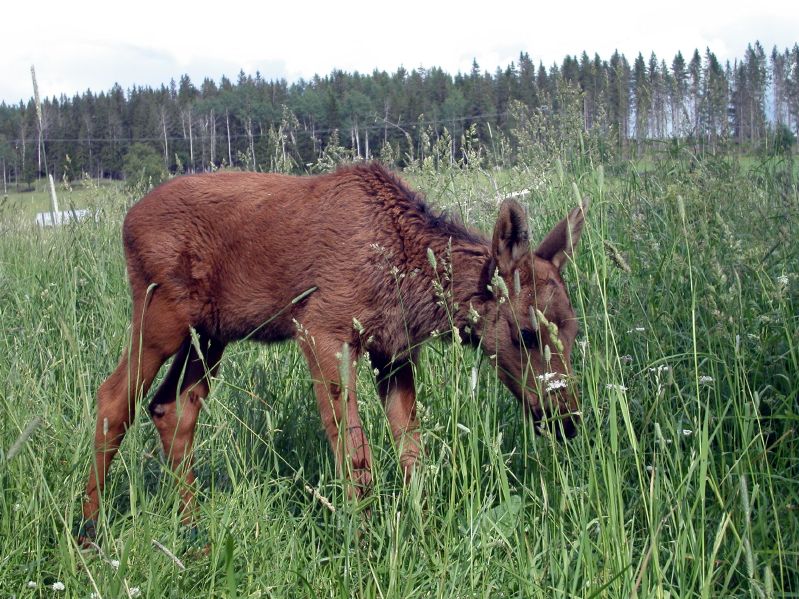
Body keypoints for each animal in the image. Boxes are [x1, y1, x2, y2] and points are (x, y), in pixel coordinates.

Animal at [79, 163, 588, 540]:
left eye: (572, 330)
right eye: (526, 332)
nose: (567, 420)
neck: (410, 272)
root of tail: (126, 221)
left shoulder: (395, 353)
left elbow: (412, 453)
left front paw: (421, 532)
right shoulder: (322, 330)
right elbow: (356, 457)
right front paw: (363, 544)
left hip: (208, 336)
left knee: (171, 408)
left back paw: (193, 529)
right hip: (159, 316)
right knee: (113, 399)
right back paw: (89, 530)